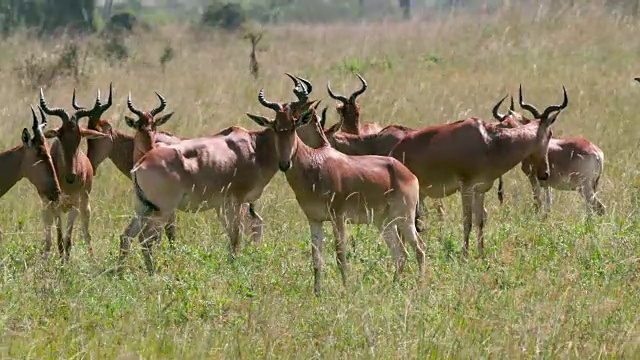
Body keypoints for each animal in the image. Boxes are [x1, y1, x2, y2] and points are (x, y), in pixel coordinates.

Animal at [38, 88, 106, 260]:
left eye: (79, 136)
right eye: (60, 135)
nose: (71, 177)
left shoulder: (75, 203)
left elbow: (68, 238)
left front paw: (66, 261)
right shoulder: (54, 203)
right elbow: (59, 238)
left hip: (85, 206)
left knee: (86, 234)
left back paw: (93, 260)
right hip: (46, 208)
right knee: (48, 238)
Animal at [248, 89, 428, 296]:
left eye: (293, 126)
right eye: (276, 127)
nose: (285, 164)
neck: (315, 162)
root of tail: (407, 173)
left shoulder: (338, 217)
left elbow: (340, 255)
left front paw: (345, 289)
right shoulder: (314, 220)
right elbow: (316, 258)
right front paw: (317, 293)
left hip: (405, 218)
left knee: (420, 248)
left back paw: (420, 286)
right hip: (385, 223)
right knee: (400, 253)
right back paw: (394, 286)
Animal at [388, 86, 568, 258]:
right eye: (550, 133)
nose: (544, 173)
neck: (489, 141)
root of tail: (395, 151)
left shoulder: (480, 189)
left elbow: (479, 220)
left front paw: (482, 254)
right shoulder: (466, 187)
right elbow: (467, 220)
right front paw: (465, 255)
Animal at [492, 87, 608, 217]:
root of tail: (597, 153)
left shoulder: (534, 179)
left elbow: (538, 201)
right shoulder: (547, 184)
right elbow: (548, 204)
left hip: (585, 187)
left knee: (598, 208)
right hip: (590, 187)